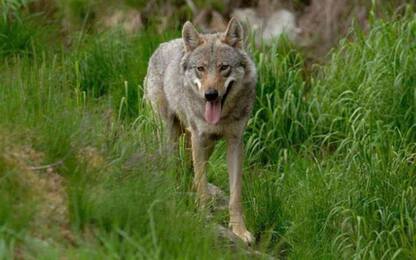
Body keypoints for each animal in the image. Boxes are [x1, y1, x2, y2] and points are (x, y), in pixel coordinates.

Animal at [145, 18, 256, 244]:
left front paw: (240, 231)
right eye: (201, 69)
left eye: (224, 67)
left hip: (205, 145)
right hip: (171, 135)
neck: (222, 118)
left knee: (189, 168)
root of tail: (162, 45)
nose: (210, 95)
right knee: (172, 165)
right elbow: (203, 186)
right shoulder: (199, 138)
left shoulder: (235, 142)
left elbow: (235, 195)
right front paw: (204, 219)